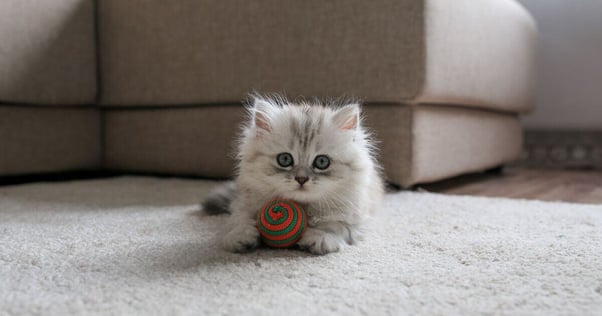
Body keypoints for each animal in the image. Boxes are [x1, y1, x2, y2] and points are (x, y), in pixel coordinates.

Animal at [202, 94, 380, 254]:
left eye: (322, 162)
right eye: (285, 159)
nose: (301, 179)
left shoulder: (356, 218)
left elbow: (336, 225)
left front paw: (320, 238)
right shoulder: (242, 204)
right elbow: (238, 219)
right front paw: (240, 235)